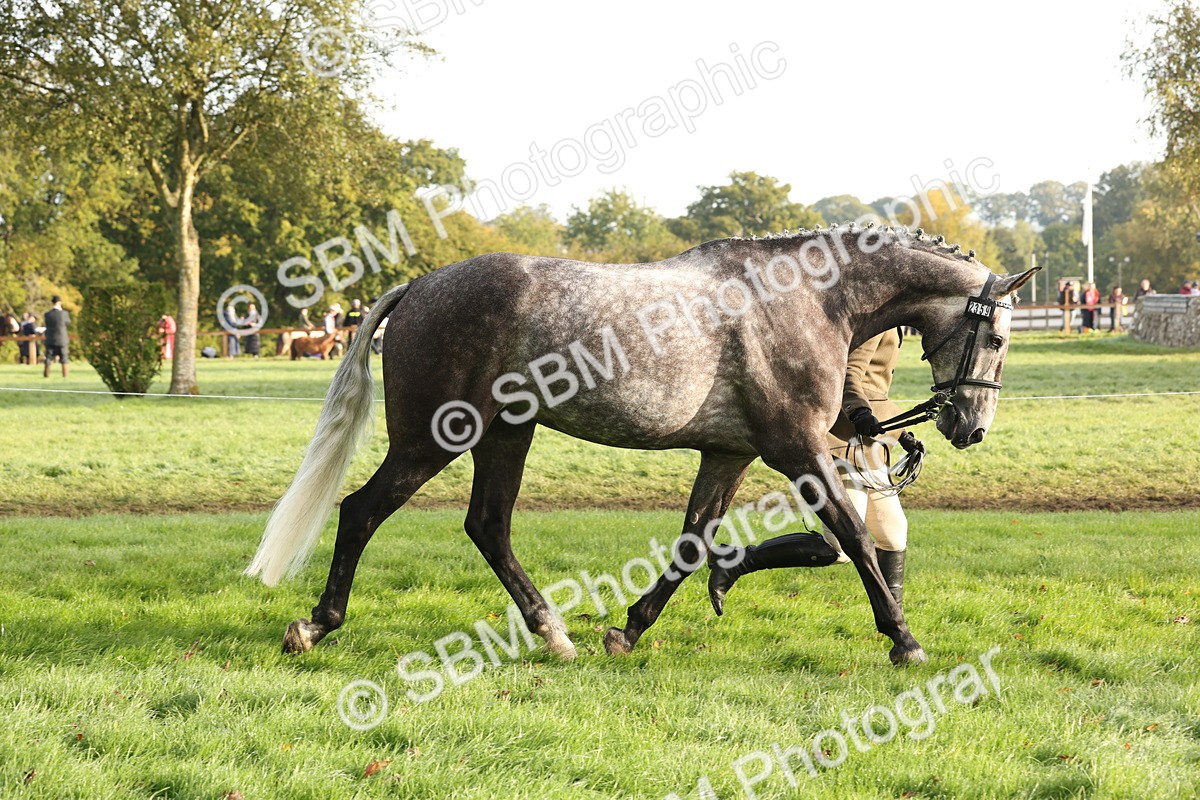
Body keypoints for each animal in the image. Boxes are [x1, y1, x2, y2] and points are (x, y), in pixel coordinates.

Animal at [245, 225, 1037, 666]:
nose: (970, 426)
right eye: (998, 338)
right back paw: (314, 626)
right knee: (361, 512)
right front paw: (905, 641)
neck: (807, 299)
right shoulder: (797, 450)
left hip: (507, 434)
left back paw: (554, 635)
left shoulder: (729, 453)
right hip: (435, 439)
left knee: (488, 527)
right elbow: (855, 539)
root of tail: (416, 288)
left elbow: (693, 543)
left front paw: (629, 630)